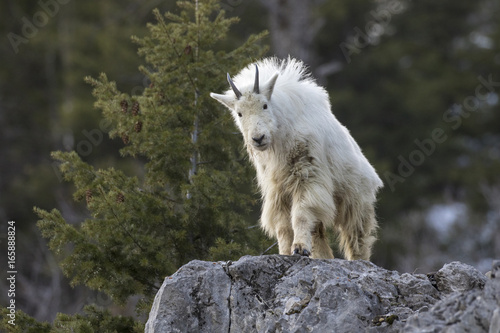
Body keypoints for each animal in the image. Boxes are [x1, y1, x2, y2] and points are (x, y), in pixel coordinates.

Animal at [210, 57, 382, 260]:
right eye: (239, 113)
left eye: (265, 105)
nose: (258, 138)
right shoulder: (277, 188)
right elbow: (283, 225)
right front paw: (286, 252)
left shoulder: (307, 174)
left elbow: (301, 213)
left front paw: (300, 248)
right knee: (318, 233)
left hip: (356, 201)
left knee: (357, 238)